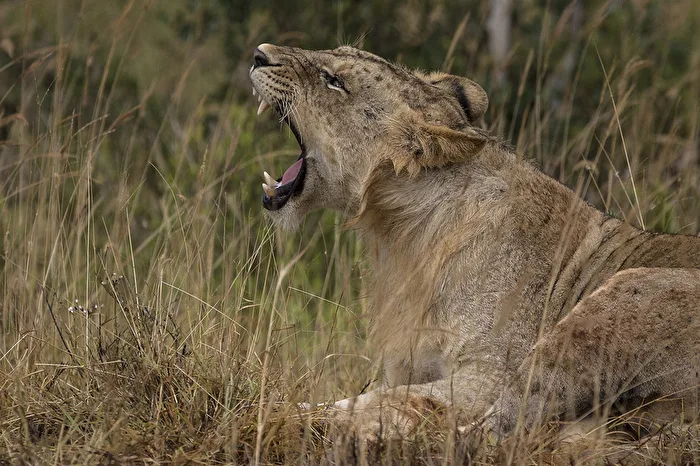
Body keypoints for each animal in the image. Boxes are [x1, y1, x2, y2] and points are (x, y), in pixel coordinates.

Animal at [248, 43, 700, 440]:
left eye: (334, 80)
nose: (259, 53)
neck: (401, 232)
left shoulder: (487, 374)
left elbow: (386, 398)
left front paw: (279, 409)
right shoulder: (410, 362)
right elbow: (377, 392)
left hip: (617, 301)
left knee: (490, 431)